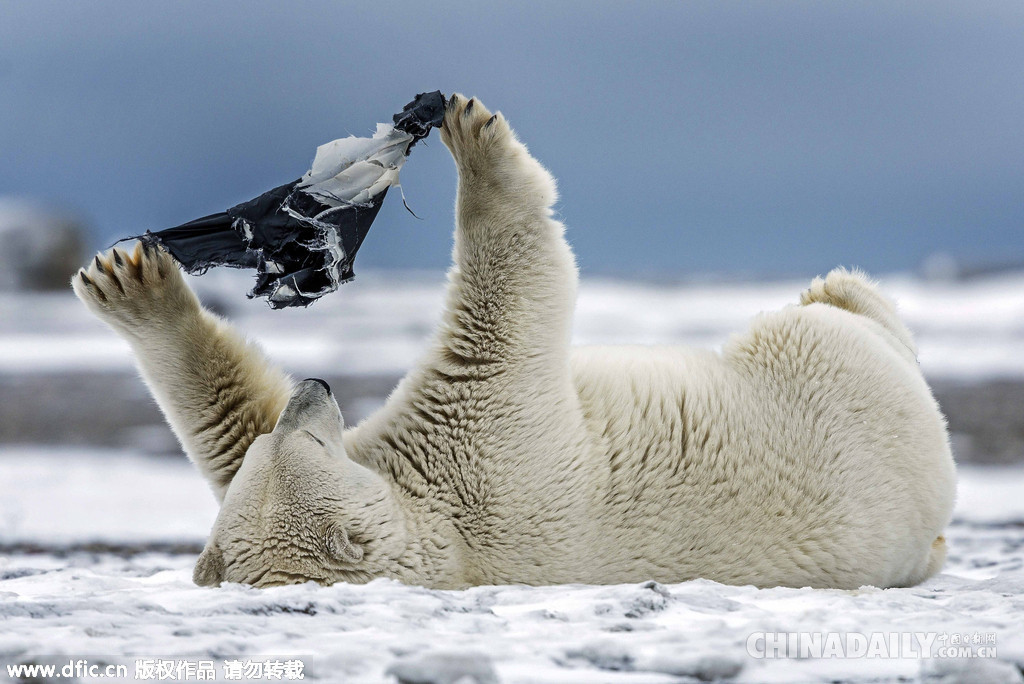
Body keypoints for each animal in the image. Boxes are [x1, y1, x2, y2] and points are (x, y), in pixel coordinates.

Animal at [75, 93, 954, 589]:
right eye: (307, 446)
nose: (315, 390)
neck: (446, 535)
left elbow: (225, 421)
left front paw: (128, 281)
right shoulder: (487, 450)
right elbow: (511, 297)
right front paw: (475, 137)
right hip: (825, 369)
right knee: (838, 325)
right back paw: (839, 287)